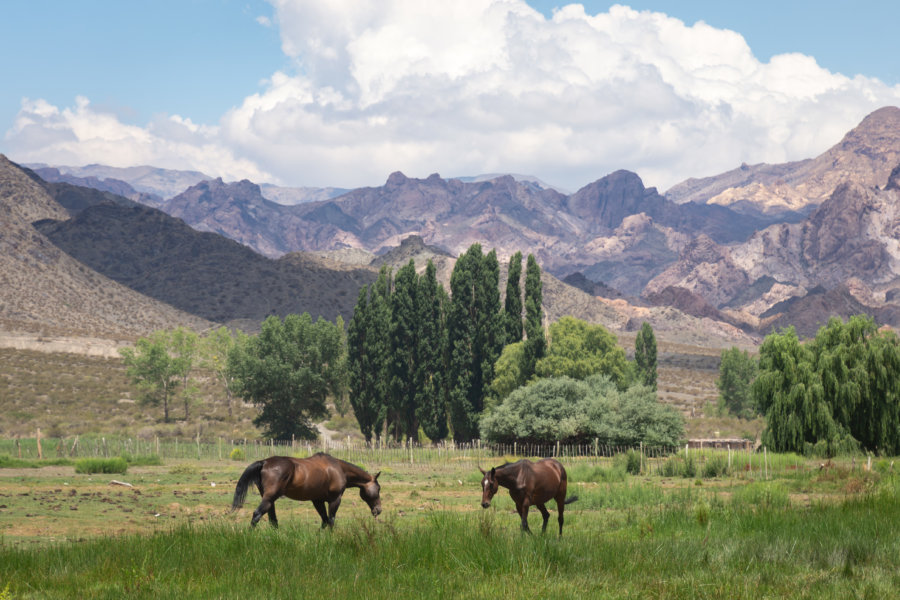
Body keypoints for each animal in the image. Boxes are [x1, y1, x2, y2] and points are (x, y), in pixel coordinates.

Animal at [230, 452, 382, 528]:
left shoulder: (317, 501)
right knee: (257, 514)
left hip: (269, 499)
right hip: (269, 498)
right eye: (379, 489)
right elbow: (331, 520)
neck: (339, 469)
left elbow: (324, 520)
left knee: (273, 520)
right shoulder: (335, 500)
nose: (378, 510)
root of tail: (264, 462)